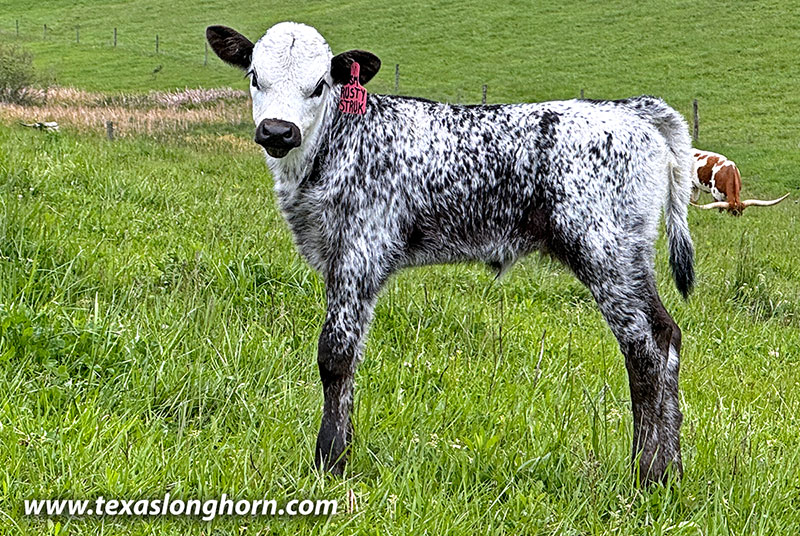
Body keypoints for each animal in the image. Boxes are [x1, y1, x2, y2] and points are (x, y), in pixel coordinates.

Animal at [206, 21, 696, 485]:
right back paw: (670, 471)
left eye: (319, 84)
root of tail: (627, 108)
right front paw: (340, 452)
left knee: (643, 349)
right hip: (630, 254)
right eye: (255, 76)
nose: (277, 130)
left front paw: (329, 463)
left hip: (602, 248)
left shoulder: (361, 250)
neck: (334, 147)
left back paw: (646, 475)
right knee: (667, 335)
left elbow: (336, 355)